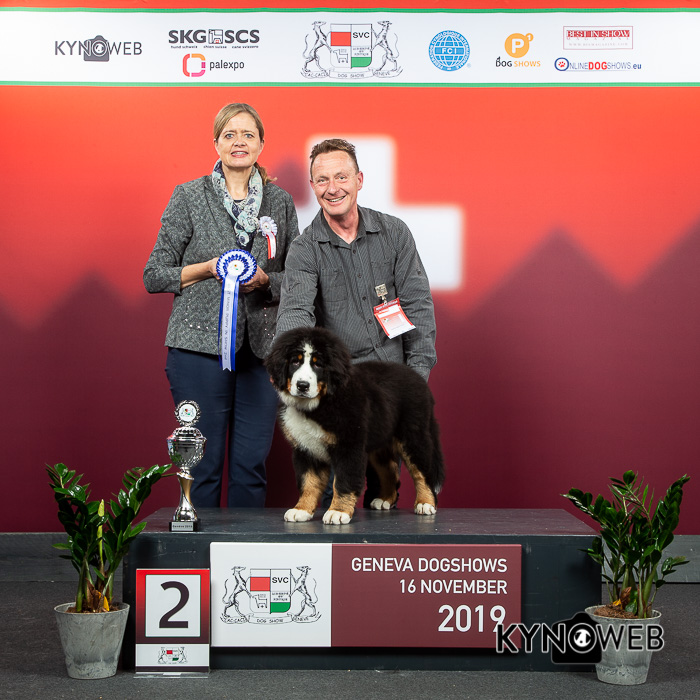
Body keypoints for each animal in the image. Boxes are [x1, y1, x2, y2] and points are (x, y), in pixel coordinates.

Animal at [265, 327, 445, 525]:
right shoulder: (306, 448)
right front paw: (301, 509)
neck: (318, 405)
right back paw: (385, 499)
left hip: (413, 436)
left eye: (318, 365)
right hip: (379, 441)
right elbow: (308, 482)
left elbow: (344, 481)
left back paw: (425, 503)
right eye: (295, 362)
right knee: (389, 469)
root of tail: (417, 378)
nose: (302, 385)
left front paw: (338, 511)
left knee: (423, 471)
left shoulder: (349, 446)